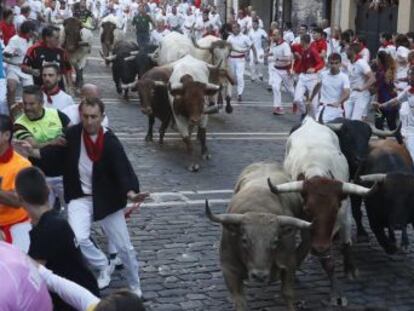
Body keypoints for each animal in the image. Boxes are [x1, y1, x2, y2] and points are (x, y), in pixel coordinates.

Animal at [207, 163, 310, 311]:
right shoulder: (228, 267)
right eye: (244, 240)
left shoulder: (288, 262)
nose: (259, 275)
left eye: (275, 241)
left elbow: (288, 293)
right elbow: (239, 301)